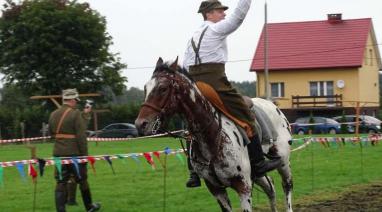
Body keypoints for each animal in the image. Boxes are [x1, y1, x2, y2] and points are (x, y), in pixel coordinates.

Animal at [136, 57, 294, 212]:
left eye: (163, 88)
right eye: (145, 88)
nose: (140, 124)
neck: (212, 135)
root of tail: (273, 105)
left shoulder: (243, 187)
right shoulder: (216, 189)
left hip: (283, 162)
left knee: (287, 186)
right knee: (270, 187)